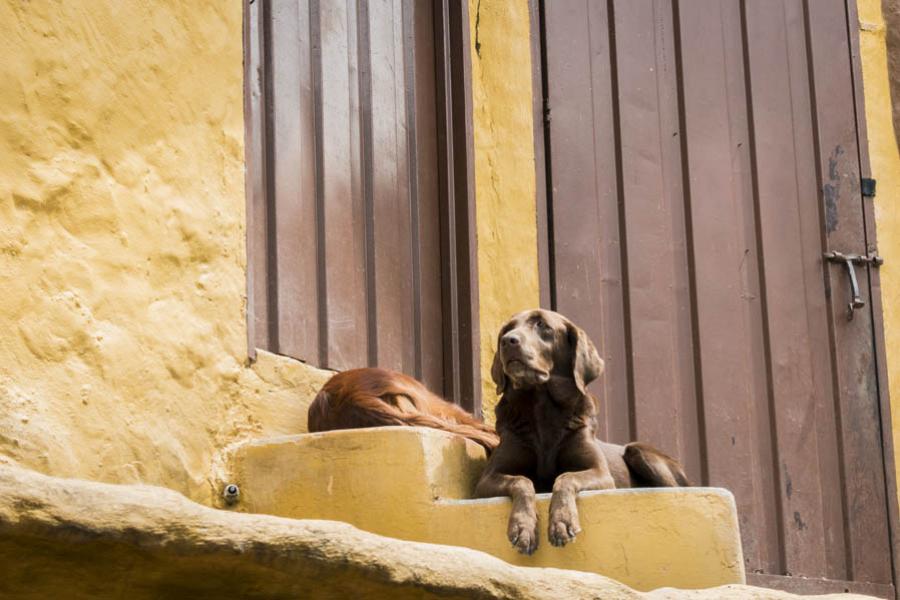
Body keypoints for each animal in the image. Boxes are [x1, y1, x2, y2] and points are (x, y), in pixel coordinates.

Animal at [474, 312, 684, 556]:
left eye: (542, 325)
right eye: (507, 328)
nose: (508, 341)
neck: (542, 410)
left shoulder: (601, 474)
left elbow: (566, 477)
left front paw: (562, 522)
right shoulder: (486, 480)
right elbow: (521, 480)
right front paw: (523, 527)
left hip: (639, 451)